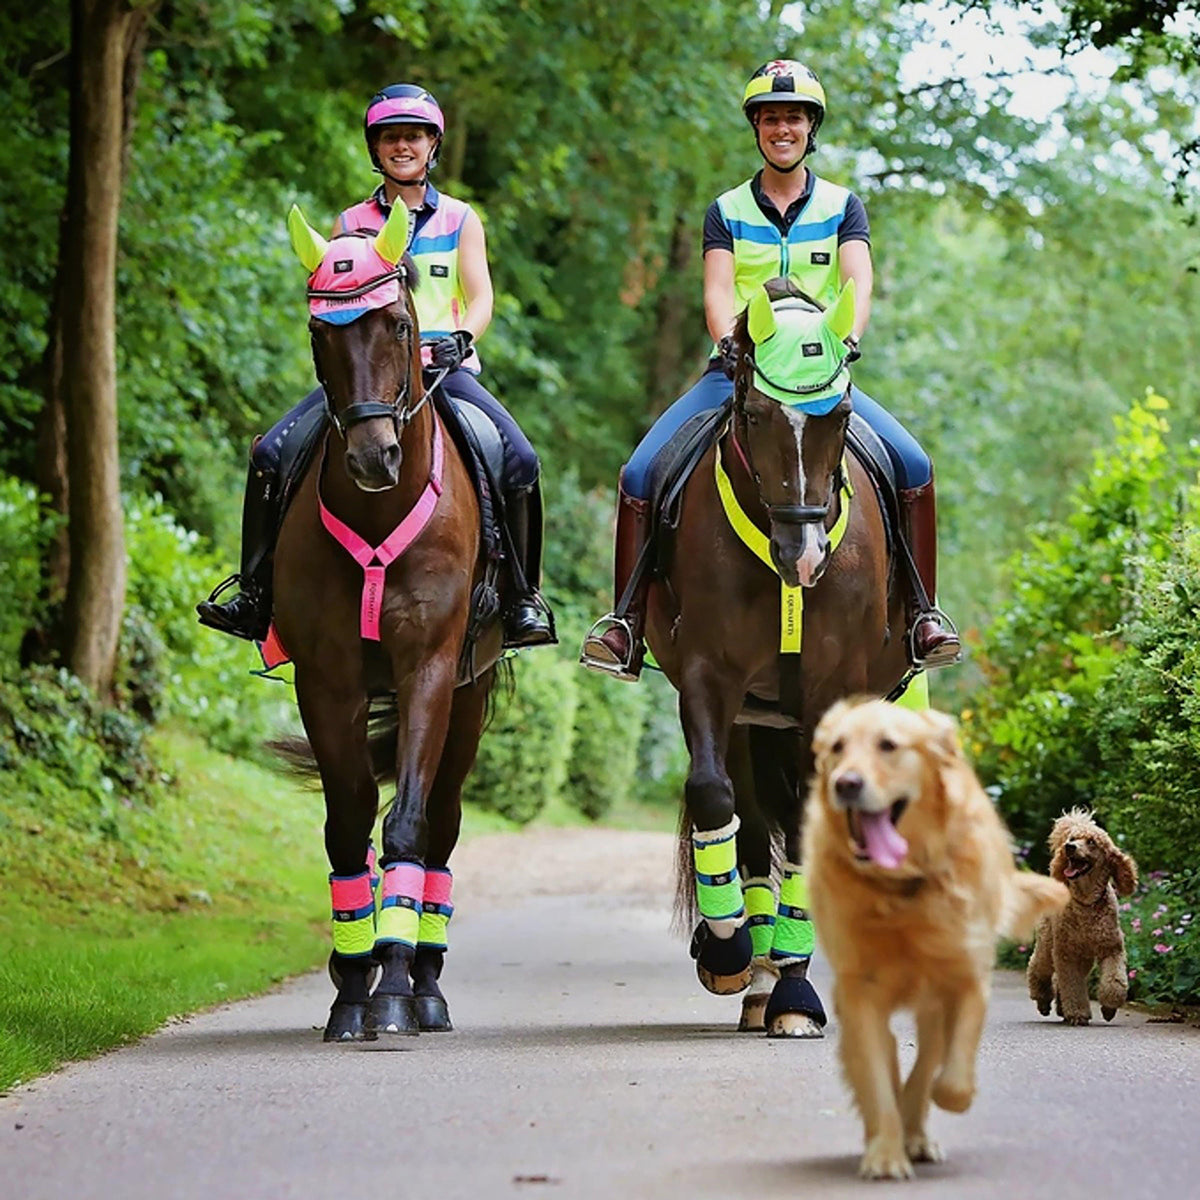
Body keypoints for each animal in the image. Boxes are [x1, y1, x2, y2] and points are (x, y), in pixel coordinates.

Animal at [272, 201, 502, 1041]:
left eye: (399, 324)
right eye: (320, 332)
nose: (375, 456)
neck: (379, 511)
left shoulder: (429, 668)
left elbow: (405, 824)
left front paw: (397, 990)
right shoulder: (326, 677)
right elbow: (348, 827)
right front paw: (351, 988)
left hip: (470, 697)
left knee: (441, 822)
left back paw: (427, 983)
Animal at [645, 278, 914, 1037]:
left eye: (841, 413)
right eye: (757, 413)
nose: (805, 556)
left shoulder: (829, 691)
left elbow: (804, 822)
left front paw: (797, 994)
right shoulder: (711, 680)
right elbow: (715, 798)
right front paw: (728, 948)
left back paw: (777, 982)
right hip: (751, 719)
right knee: (746, 818)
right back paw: (751, 968)